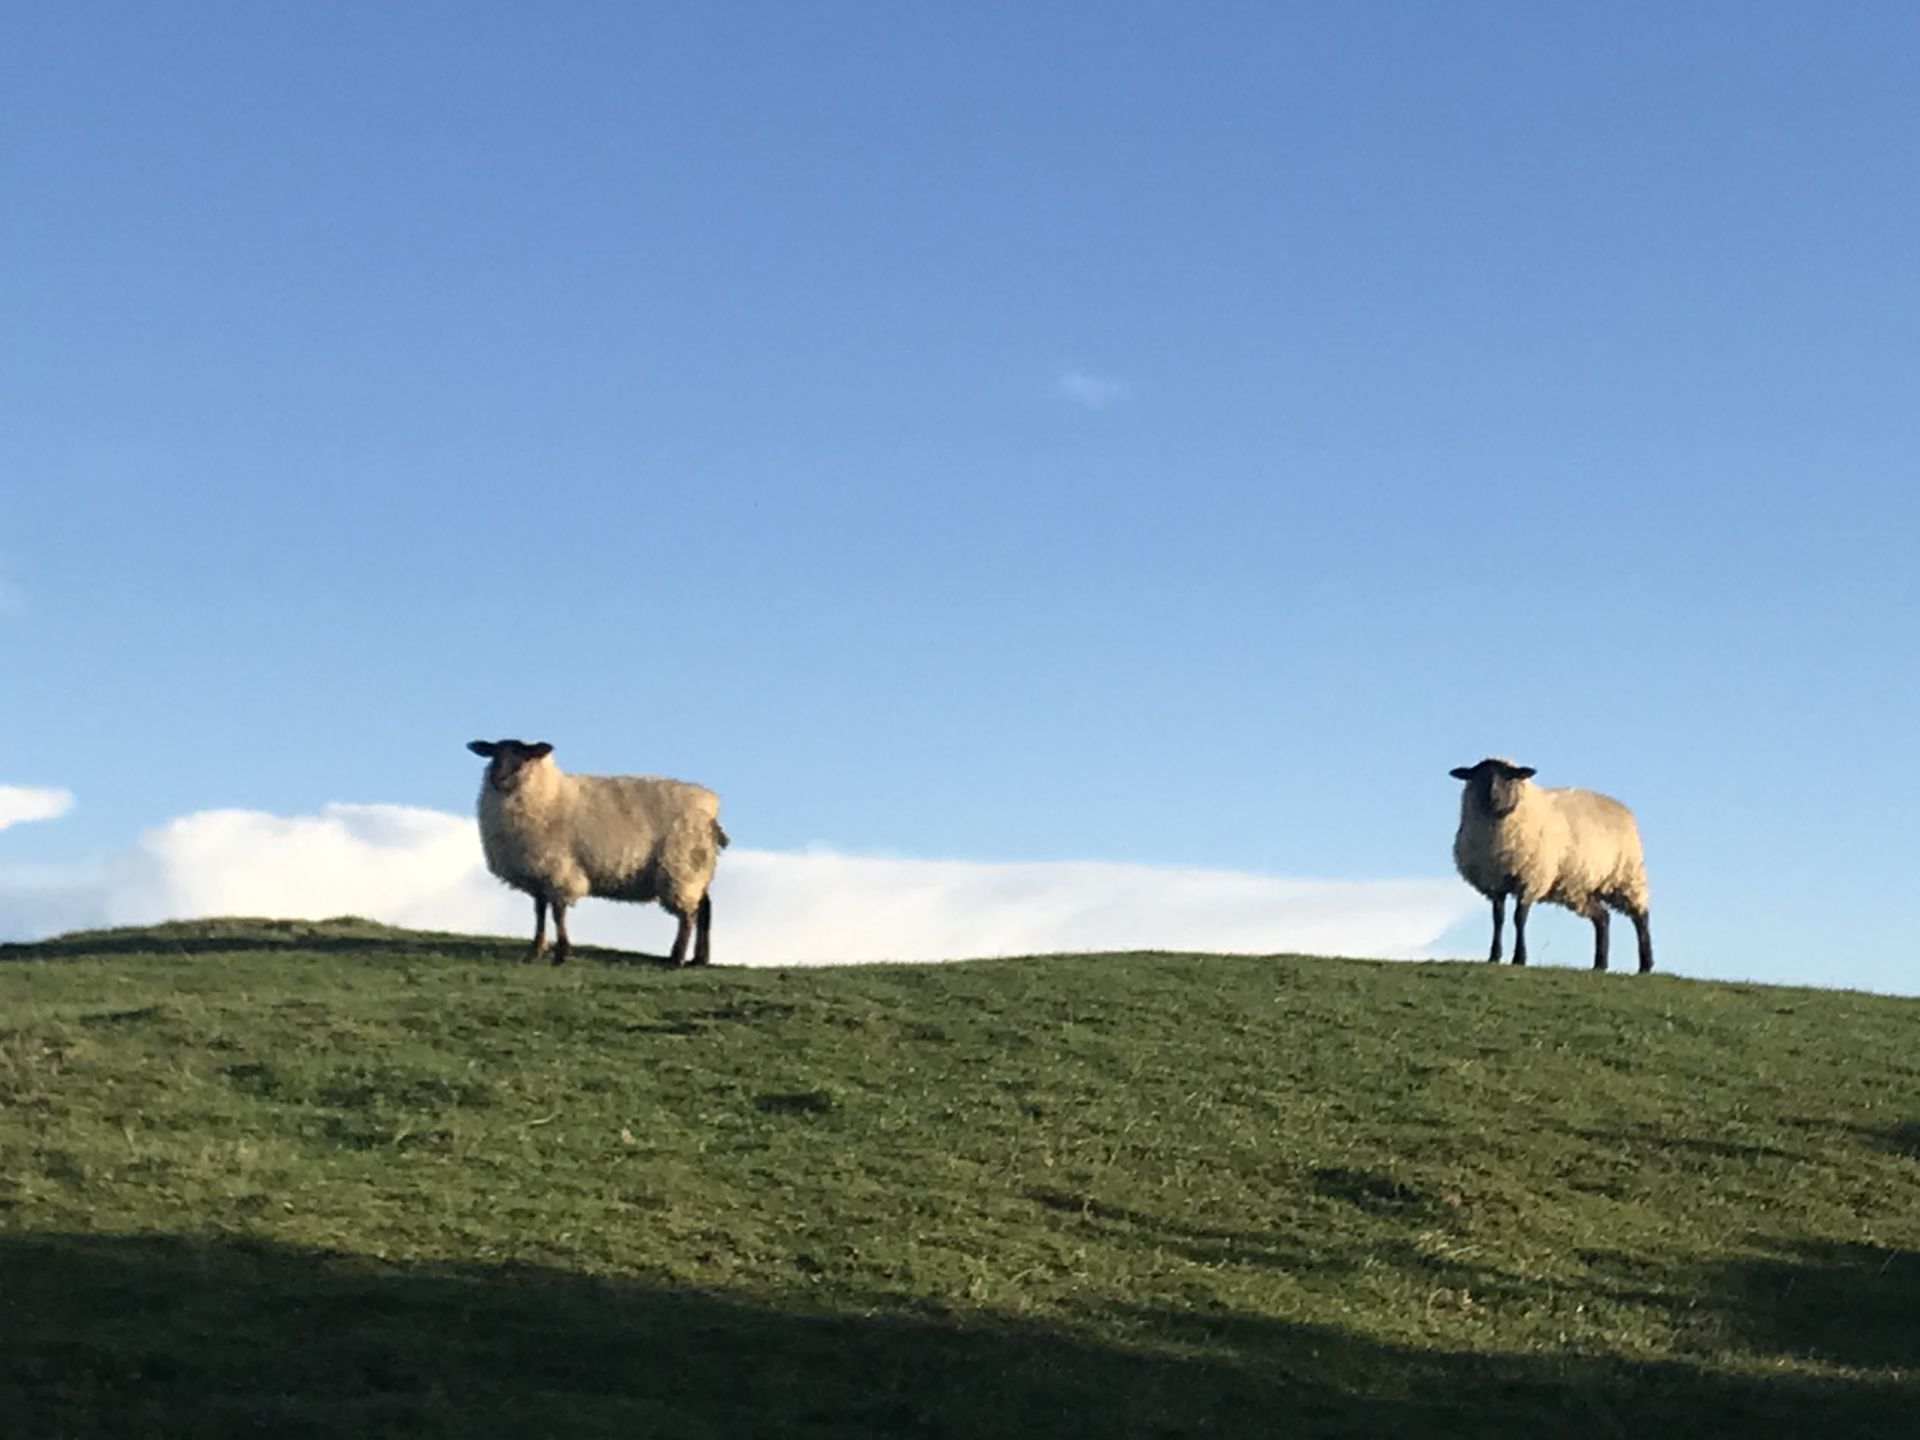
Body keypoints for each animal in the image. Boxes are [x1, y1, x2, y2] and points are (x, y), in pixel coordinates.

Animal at [467, 738, 729, 967]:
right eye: (494, 754)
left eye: (522, 757)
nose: (496, 778)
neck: (547, 796)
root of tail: (711, 804)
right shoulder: (537, 874)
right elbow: (539, 913)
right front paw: (535, 951)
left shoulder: (559, 869)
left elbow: (557, 913)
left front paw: (561, 953)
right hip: (695, 867)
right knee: (704, 907)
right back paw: (699, 959)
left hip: (680, 865)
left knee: (688, 914)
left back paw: (677, 958)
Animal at [1449, 756, 1653, 973]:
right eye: (1478, 776)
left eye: (1509, 777)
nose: (1492, 797)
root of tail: (1620, 806)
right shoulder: (1495, 884)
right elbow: (1498, 918)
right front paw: (1494, 956)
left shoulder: (1529, 880)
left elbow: (1519, 918)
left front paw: (1519, 958)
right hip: (1581, 890)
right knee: (1603, 917)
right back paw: (1600, 964)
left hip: (1625, 876)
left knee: (1640, 917)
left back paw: (1646, 964)